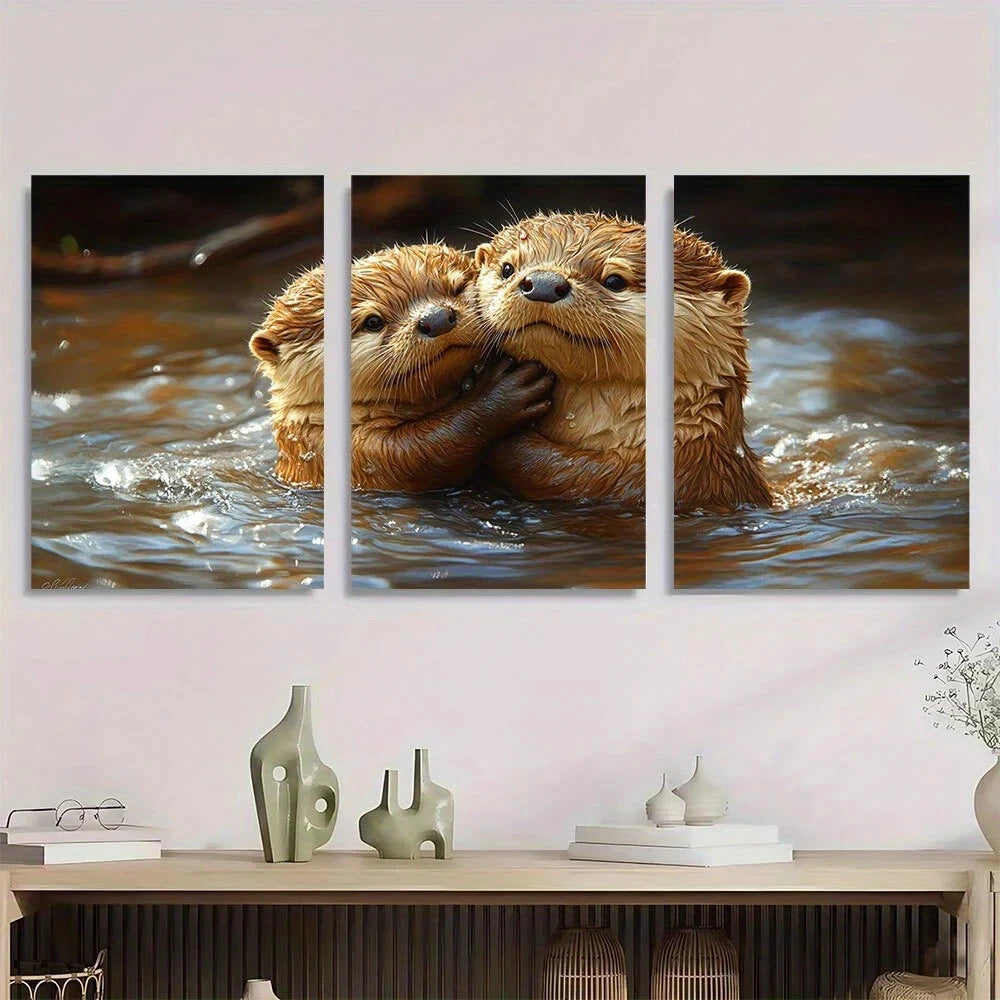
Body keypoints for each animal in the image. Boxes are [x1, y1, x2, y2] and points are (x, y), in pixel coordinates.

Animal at [351, 243, 554, 492]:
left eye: (457, 289)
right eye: (373, 322)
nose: (436, 318)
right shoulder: (363, 454)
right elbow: (416, 453)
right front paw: (501, 394)